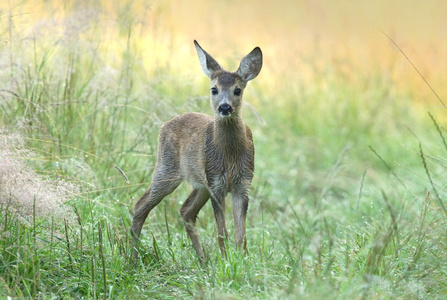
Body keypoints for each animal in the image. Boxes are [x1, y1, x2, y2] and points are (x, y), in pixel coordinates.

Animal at [130, 41, 262, 264]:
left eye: (237, 90)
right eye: (214, 89)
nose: (224, 107)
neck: (230, 154)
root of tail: (164, 125)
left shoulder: (242, 184)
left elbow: (241, 236)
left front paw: (242, 263)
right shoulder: (217, 185)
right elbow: (222, 233)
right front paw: (226, 263)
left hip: (200, 183)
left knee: (186, 210)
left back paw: (202, 262)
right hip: (167, 169)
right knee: (141, 205)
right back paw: (132, 259)